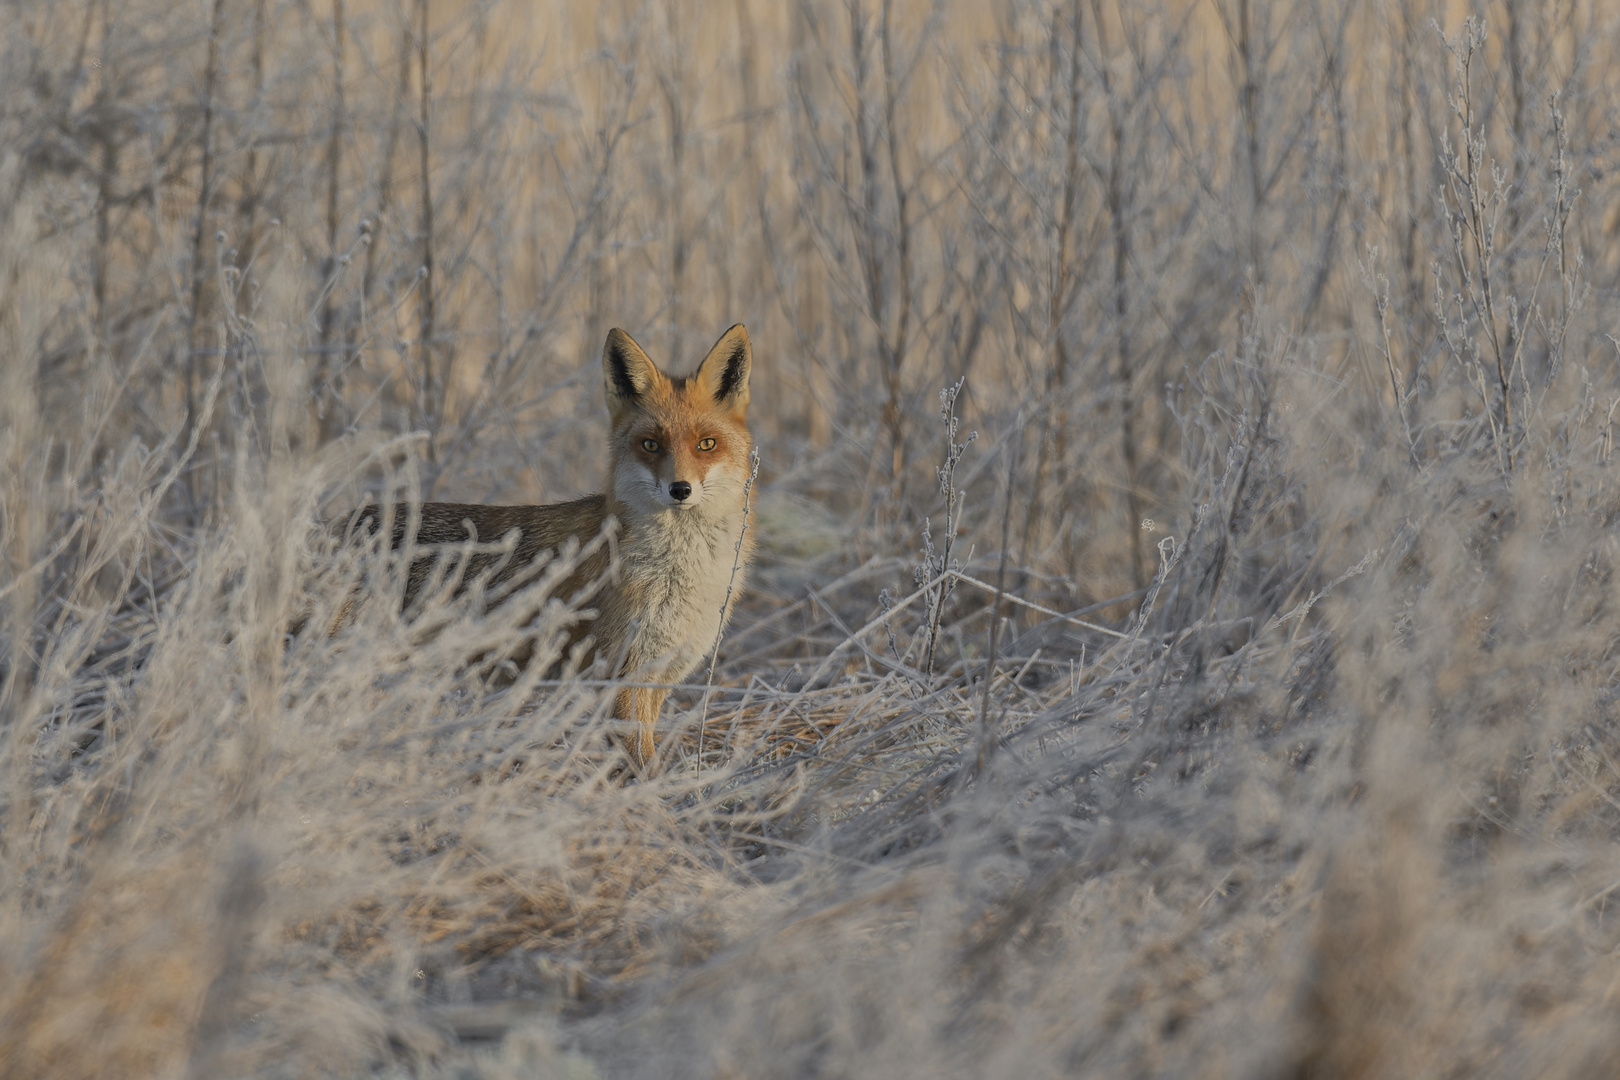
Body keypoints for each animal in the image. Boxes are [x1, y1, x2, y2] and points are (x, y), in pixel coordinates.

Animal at [351, 325, 754, 773]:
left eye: (706, 444)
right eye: (650, 445)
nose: (680, 489)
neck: (679, 576)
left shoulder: (659, 675)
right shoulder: (619, 674)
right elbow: (642, 769)